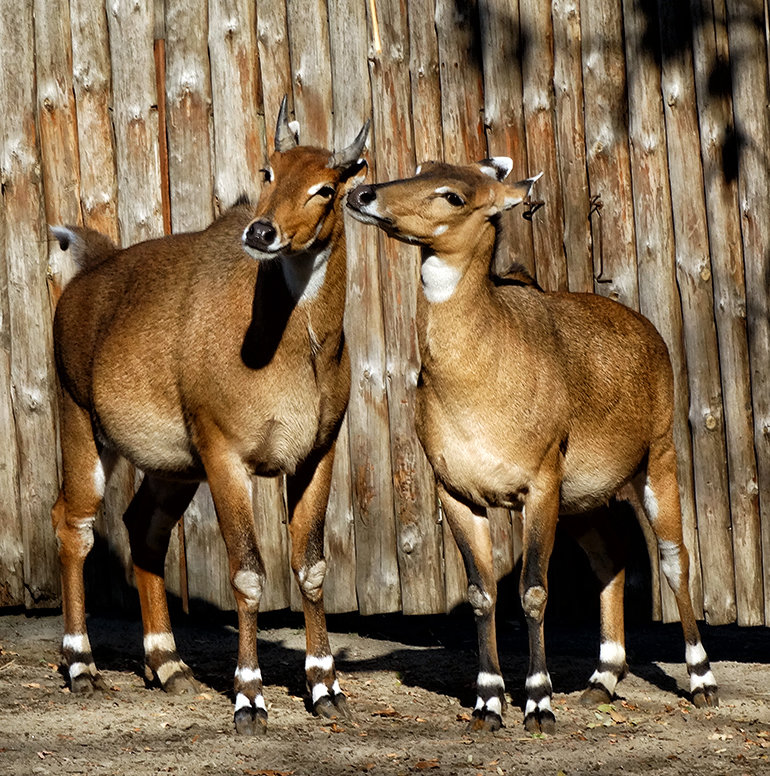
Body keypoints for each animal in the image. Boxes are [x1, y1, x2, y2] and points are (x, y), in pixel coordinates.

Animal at [51, 100, 368, 736]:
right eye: (269, 171)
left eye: (325, 188)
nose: (262, 232)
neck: (295, 349)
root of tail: (86, 275)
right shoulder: (227, 455)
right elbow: (247, 572)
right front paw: (250, 698)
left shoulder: (316, 455)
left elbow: (312, 567)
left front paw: (325, 687)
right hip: (83, 426)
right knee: (73, 526)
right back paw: (81, 667)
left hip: (175, 467)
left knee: (142, 527)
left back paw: (168, 665)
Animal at [344, 159, 716, 732]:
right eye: (422, 167)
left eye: (453, 195)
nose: (363, 195)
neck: (476, 374)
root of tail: (648, 330)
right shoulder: (457, 491)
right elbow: (482, 594)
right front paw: (487, 703)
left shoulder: (538, 484)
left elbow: (534, 590)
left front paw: (538, 702)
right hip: (583, 500)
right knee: (611, 560)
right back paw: (602, 680)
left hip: (658, 460)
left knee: (675, 559)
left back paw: (701, 681)